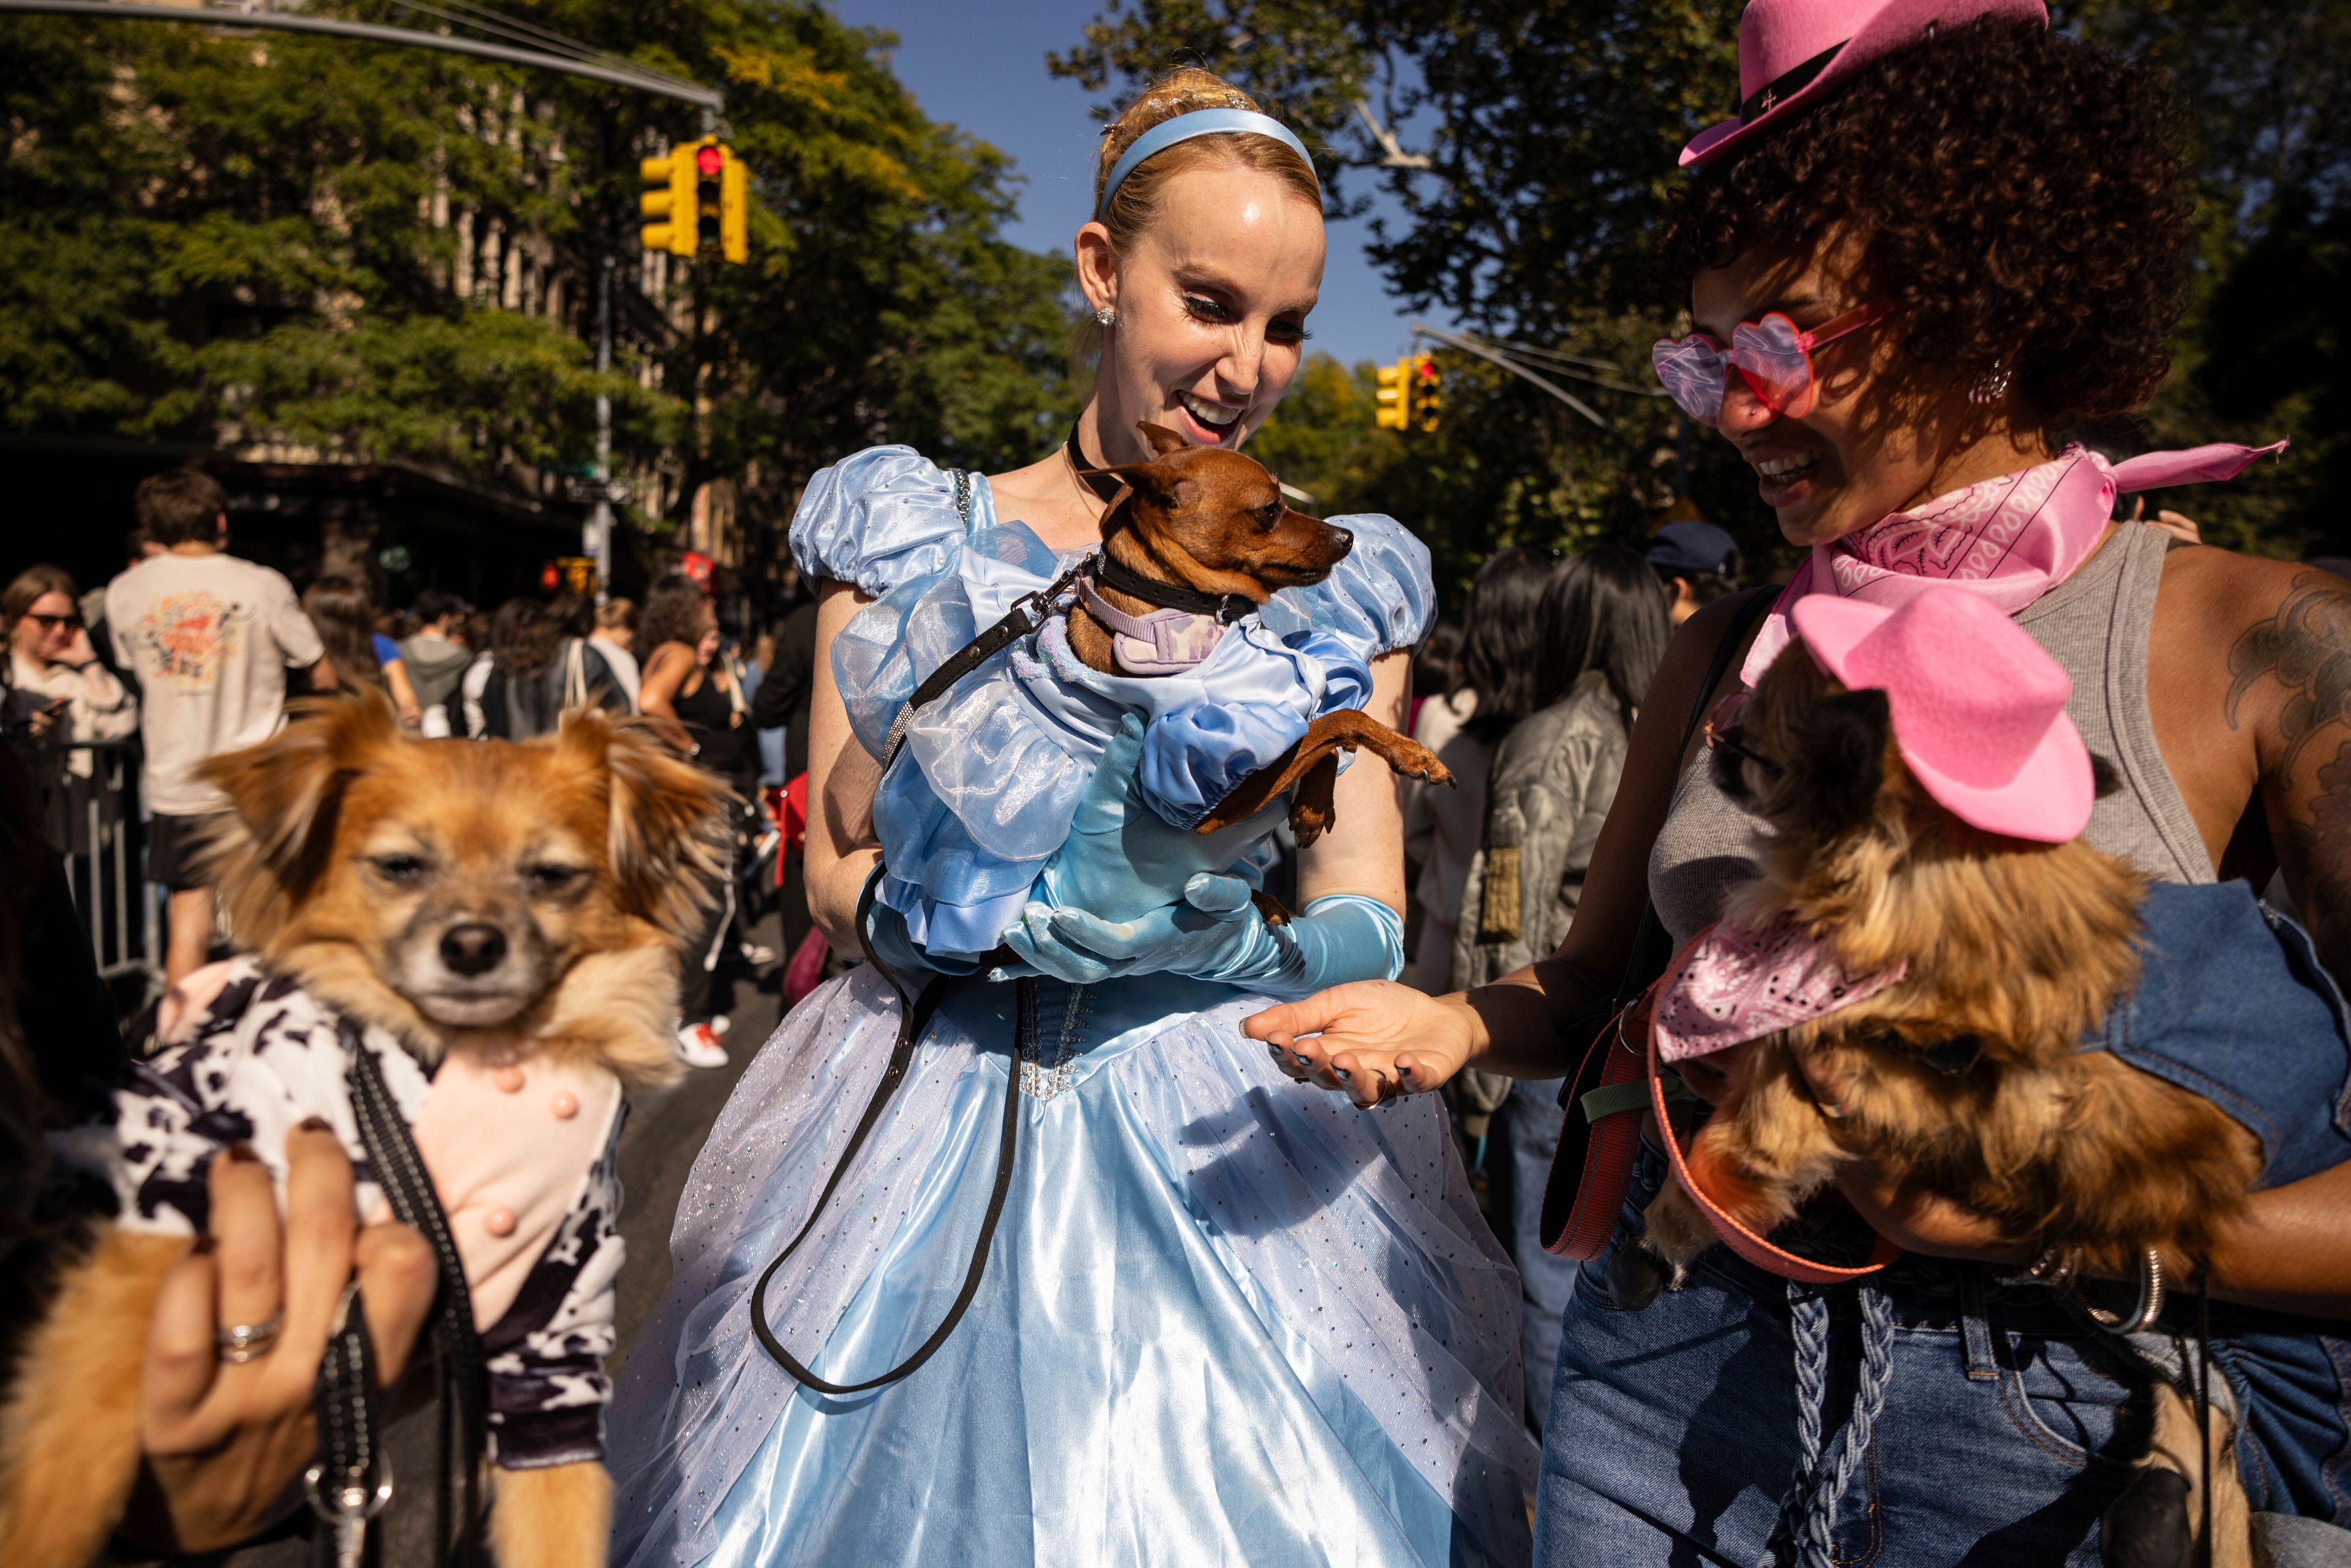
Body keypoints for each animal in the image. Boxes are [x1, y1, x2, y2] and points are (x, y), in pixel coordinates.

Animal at [1072, 421, 1439, 860]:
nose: (1347, 535)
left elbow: (1324, 734)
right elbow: (1340, 721)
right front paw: (1413, 753)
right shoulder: (1212, 802)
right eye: (1270, 509)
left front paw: (1313, 807)